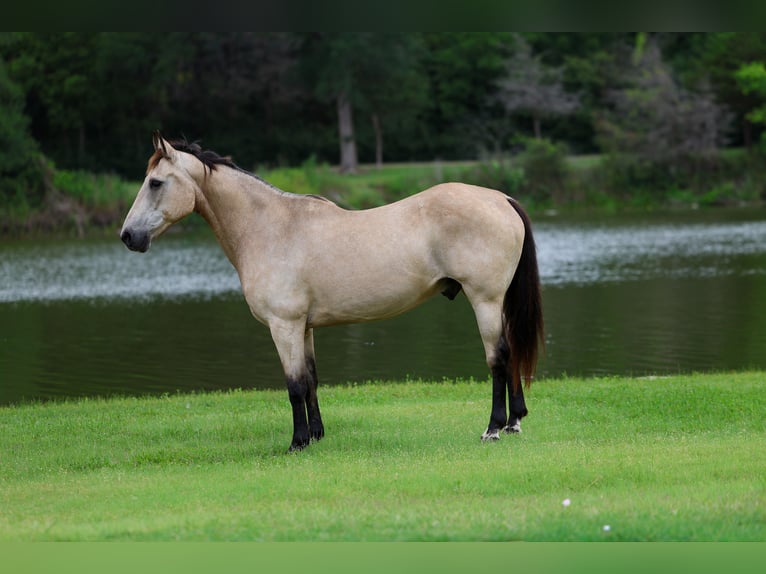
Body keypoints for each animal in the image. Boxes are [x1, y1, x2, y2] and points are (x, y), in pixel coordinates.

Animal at [120, 132, 544, 452]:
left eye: (155, 183)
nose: (128, 236)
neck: (271, 227)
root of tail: (500, 197)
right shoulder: (304, 327)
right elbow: (310, 380)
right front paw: (317, 436)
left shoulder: (284, 326)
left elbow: (293, 385)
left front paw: (297, 443)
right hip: (497, 302)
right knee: (511, 354)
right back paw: (514, 423)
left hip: (484, 300)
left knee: (498, 357)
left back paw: (493, 427)